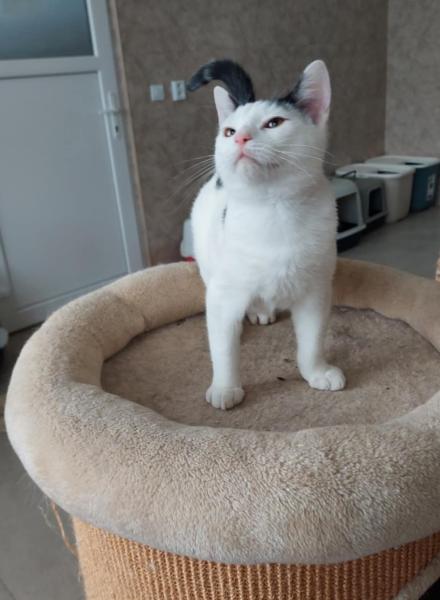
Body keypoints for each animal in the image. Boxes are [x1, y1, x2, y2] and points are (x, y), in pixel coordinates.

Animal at [187, 59, 345, 410]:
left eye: (274, 123)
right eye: (229, 131)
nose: (241, 139)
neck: (275, 209)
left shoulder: (316, 290)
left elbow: (312, 340)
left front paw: (316, 372)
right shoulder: (222, 295)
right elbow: (223, 348)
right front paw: (225, 387)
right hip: (209, 263)